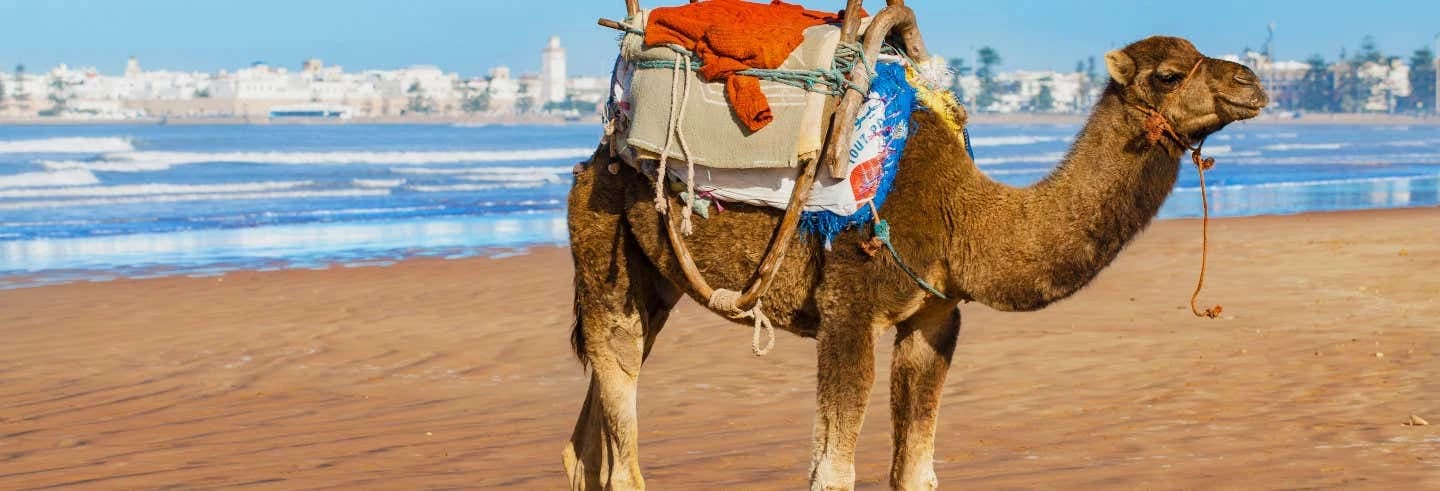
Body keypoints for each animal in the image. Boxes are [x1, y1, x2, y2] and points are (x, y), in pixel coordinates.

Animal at [562, 35, 1268, 490]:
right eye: (1169, 74)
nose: (1252, 82)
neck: (964, 214)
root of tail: (598, 154)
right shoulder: (848, 310)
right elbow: (833, 471)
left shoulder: (934, 317)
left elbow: (916, 470)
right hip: (600, 251)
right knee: (620, 439)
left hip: (650, 281)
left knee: (589, 440)